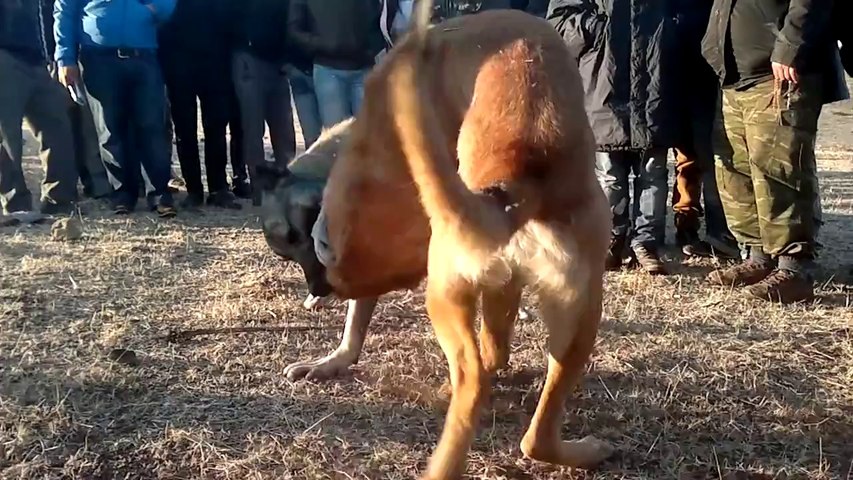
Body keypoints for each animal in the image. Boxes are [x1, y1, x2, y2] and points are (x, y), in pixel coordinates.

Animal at [309, 3, 613, 478]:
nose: (324, 287)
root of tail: (517, 181)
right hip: (574, 310)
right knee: (514, 408)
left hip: (458, 292)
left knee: (480, 378)